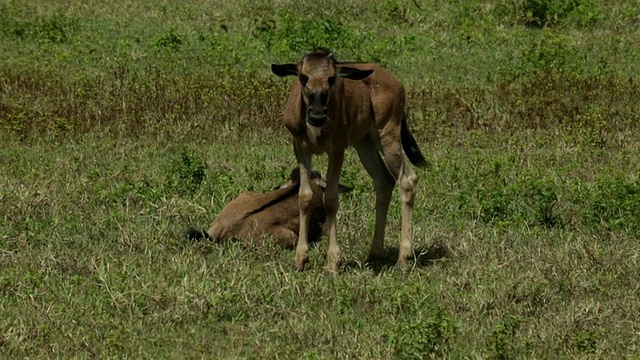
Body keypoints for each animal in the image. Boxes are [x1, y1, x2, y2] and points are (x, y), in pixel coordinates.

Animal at [272, 48, 428, 272]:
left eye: (331, 78)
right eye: (303, 77)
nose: (318, 115)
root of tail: (397, 84)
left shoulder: (337, 149)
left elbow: (331, 198)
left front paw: (332, 262)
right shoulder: (301, 148)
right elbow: (304, 196)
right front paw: (300, 259)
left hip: (388, 135)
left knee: (407, 180)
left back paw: (403, 257)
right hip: (364, 143)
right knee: (384, 182)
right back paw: (374, 254)